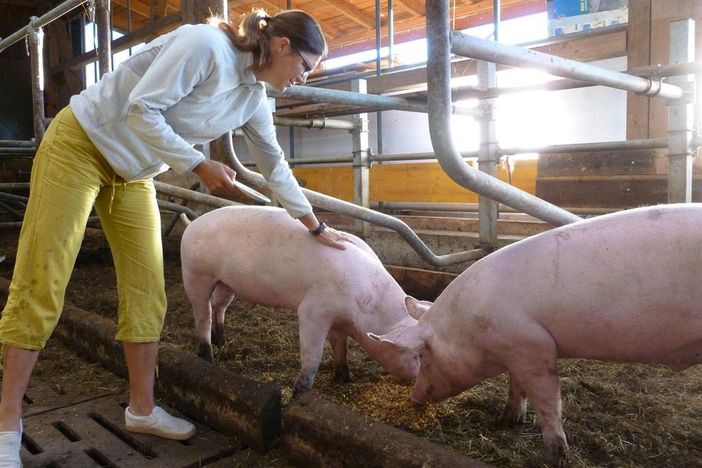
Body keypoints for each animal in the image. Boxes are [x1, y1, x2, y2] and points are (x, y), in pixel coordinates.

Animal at [182, 207, 424, 394]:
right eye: (418, 354)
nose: (416, 378)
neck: (365, 307)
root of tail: (192, 224)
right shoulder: (313, 310)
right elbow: (313, 353)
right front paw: (300, 391)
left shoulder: (338, 318)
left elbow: (340, 347)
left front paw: (346, 378)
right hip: (196, 274)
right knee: (203, 314)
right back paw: (208, 357)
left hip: (226, 283)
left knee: (219, 306)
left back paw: (221, 341)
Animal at [372, 206, 702, 468]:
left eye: (423, 356)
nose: (413, 397)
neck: (470, 329)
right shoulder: (514, 350)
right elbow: (516, 386)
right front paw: (506, 420)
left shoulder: (533, 346)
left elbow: (547, 399)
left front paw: (555, 457)